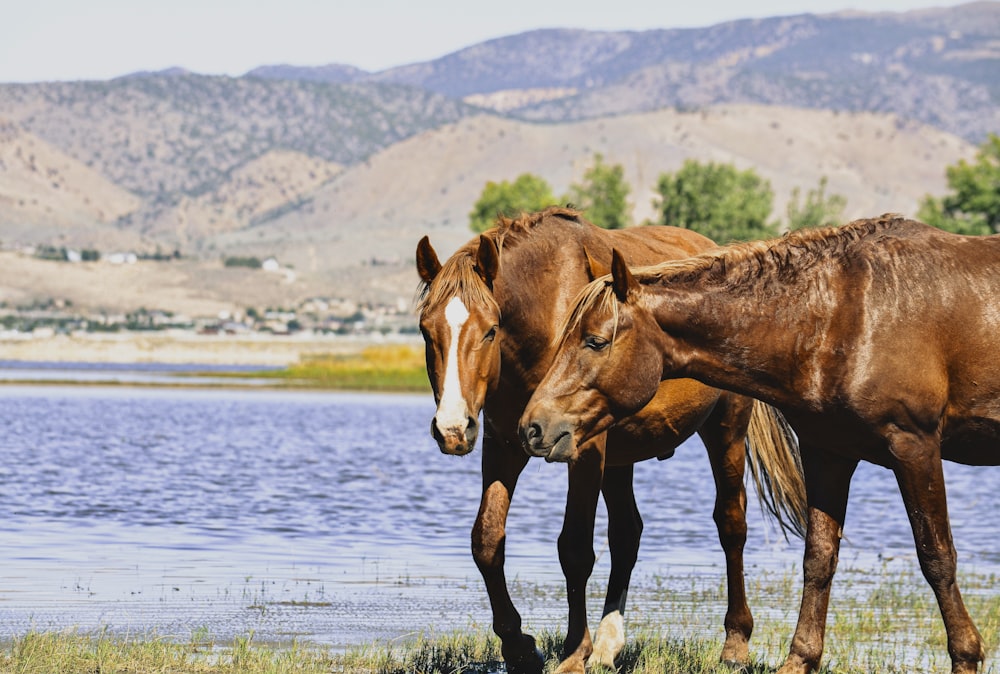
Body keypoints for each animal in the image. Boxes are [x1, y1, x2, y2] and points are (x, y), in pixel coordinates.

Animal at [414, 206, 804, 672]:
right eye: (426, 331)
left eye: (490, 330)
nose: (452, 428)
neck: (547, 313)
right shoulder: (504, 445)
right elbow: (487, 542)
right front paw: (519, 646)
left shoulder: (584, 451)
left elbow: (575, 549)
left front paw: (572, 652)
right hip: (620, 458)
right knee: (627, 534)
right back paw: (608, 642)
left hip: (725, 431)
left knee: (731, 524)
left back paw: (735, 641)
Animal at [520, 213, 1000, 668]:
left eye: (595, 341)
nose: (533, 426)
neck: (845, 313)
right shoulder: (829, 453)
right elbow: (818, 559)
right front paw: (800, 658)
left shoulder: (914, 448)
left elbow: (936, 556)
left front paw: (966, 655)